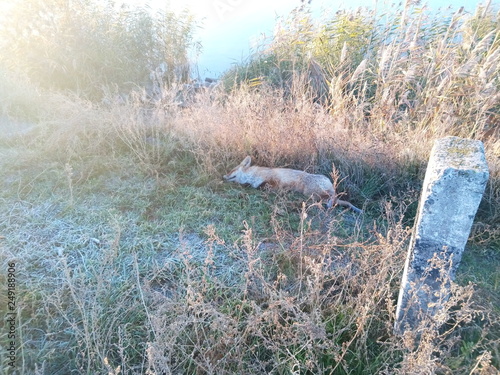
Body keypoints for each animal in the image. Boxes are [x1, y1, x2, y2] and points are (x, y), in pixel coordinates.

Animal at [225, 156, 362, 214]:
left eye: (232, 170)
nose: (223, 177)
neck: (253, 176)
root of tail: (329, 182)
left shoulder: (273, 180)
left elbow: (267, 186)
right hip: (314, 195)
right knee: (337, 201)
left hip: (313, 193)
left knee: (332, 198)